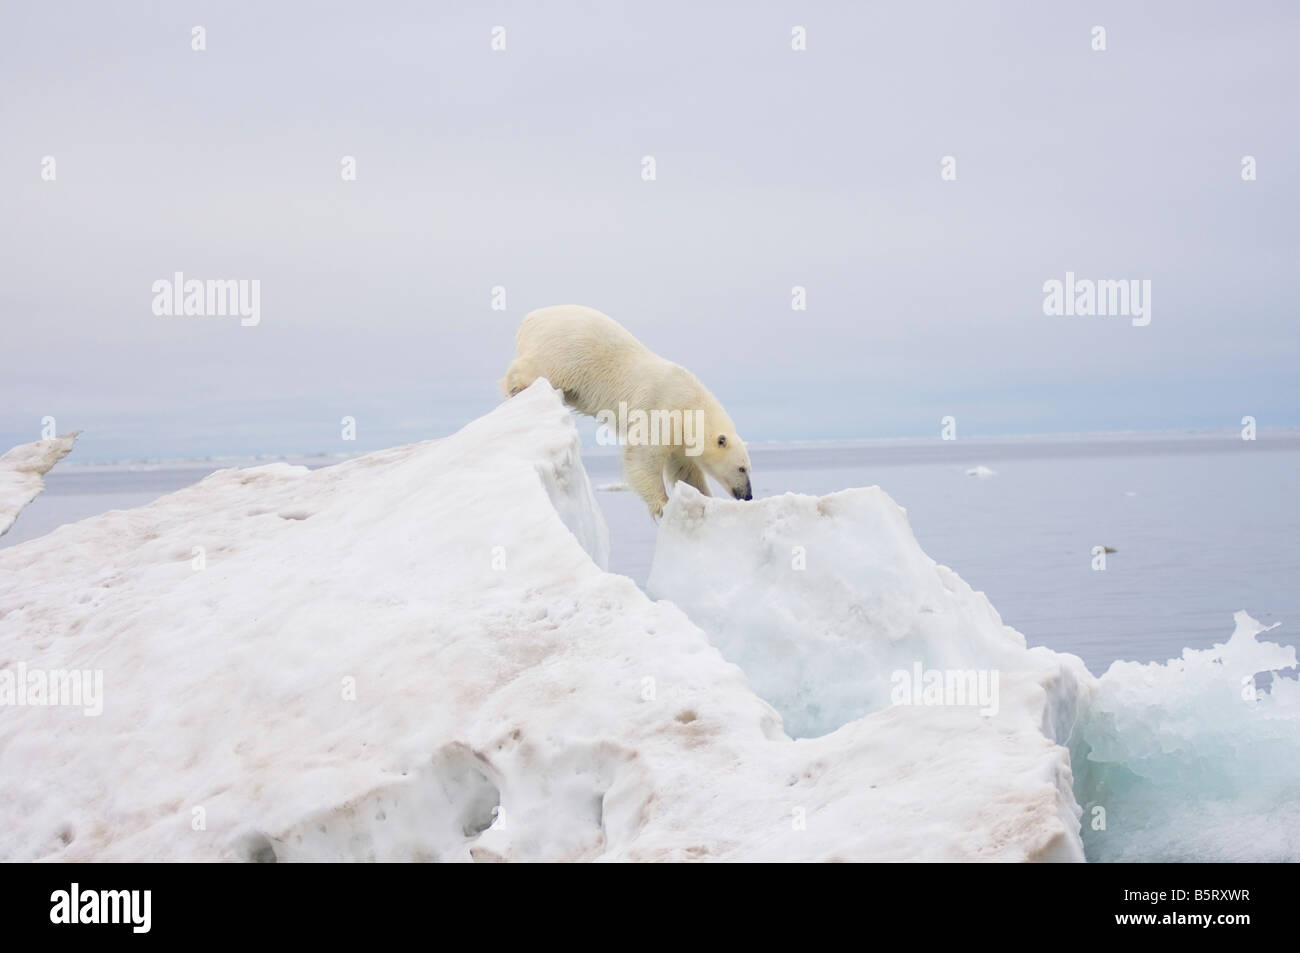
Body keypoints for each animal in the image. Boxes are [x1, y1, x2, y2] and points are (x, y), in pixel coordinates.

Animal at [502, 305, 753, 518]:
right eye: (742, 468)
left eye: (748, 467)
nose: (748, 496)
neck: (689, 403)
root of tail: (531, 318)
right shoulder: (661, 407)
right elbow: (643, 455)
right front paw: (662, 504)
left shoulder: (679, 435)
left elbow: (684, 468)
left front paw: (704, 498)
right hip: (563, 352)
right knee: (536, 368)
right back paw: (515, 387)